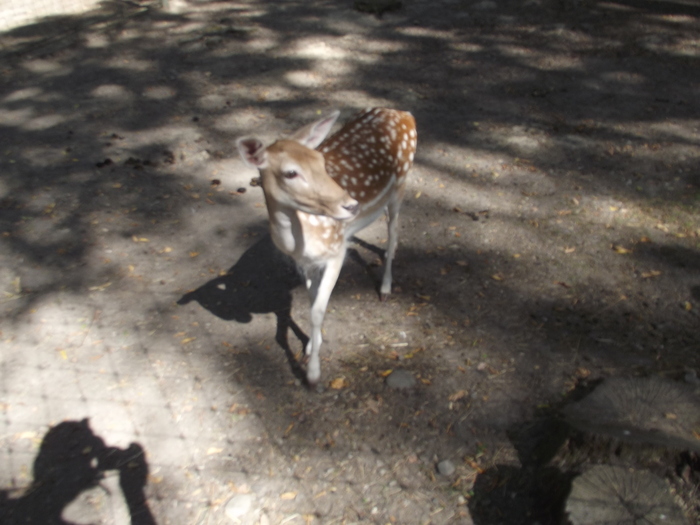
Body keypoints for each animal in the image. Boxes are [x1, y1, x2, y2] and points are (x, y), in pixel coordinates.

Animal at [238, 107, 418, 384]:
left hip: (401, 183)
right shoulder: (305, 262)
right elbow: (313, 302)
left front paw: (312, 373)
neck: (300, 239)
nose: (352, 205)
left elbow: (317, 310)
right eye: (290, 172)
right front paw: (312, 345)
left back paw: (386, 287)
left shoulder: (335, 253)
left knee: (394, 229)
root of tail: (404, 113)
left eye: (321, 161)